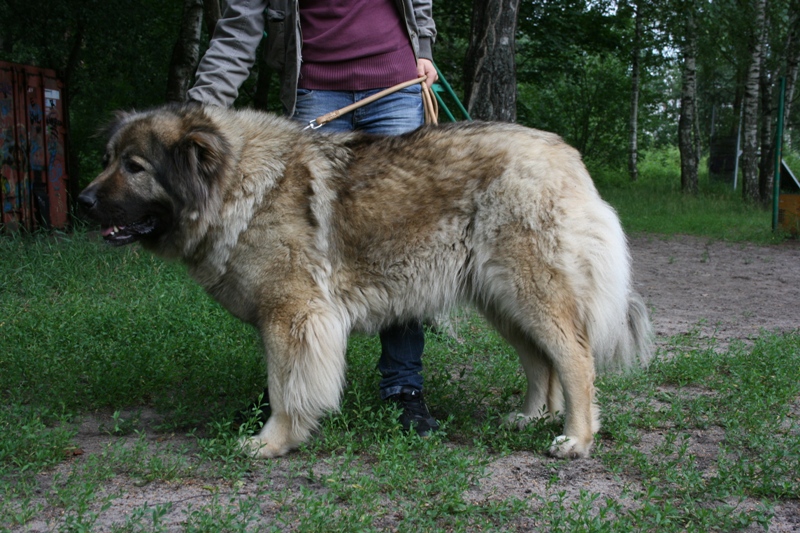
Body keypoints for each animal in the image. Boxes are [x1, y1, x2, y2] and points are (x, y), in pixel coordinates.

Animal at [78, 103, 652, 458]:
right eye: (107, 160)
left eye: (134, 167)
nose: (83, 201)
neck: (236, 182)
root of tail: (565, 154)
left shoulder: (294, 316)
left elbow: (286, 389)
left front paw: (272, 442)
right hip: (501, 299)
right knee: (541, 362)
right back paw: (532, 418)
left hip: (531, 291)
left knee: (574, 358)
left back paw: (576, 438)